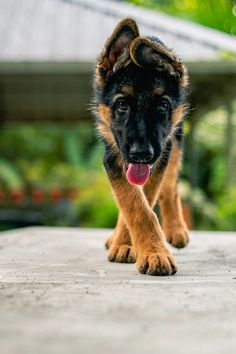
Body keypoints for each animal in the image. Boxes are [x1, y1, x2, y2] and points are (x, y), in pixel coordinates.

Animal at [93, 18, 189, 276]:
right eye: (122, 104)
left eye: (162, 105)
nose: (141, 155)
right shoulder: (113, 158)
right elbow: (134, 205)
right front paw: (129, 245)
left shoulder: (160, 157)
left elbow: (145, 201)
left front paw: (147, 250)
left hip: (174, 145)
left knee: (170, 189)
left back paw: (176, 229)